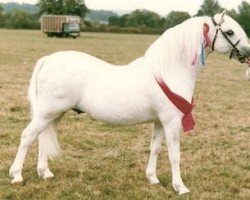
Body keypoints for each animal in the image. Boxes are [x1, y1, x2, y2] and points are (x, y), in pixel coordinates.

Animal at [9, 11, 250, 195]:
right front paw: (180, 187)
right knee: (27, 136)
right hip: (46, 113)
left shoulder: (159, 122)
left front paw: (153, 179)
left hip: (54, 115)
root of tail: (49, 59)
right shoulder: (172, 122)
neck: (169, 70)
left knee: (42, 138)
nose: (248, 53)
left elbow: (154, 148)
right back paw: (17, 175)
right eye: (230, 32)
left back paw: (45, 173)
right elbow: (175, 155)